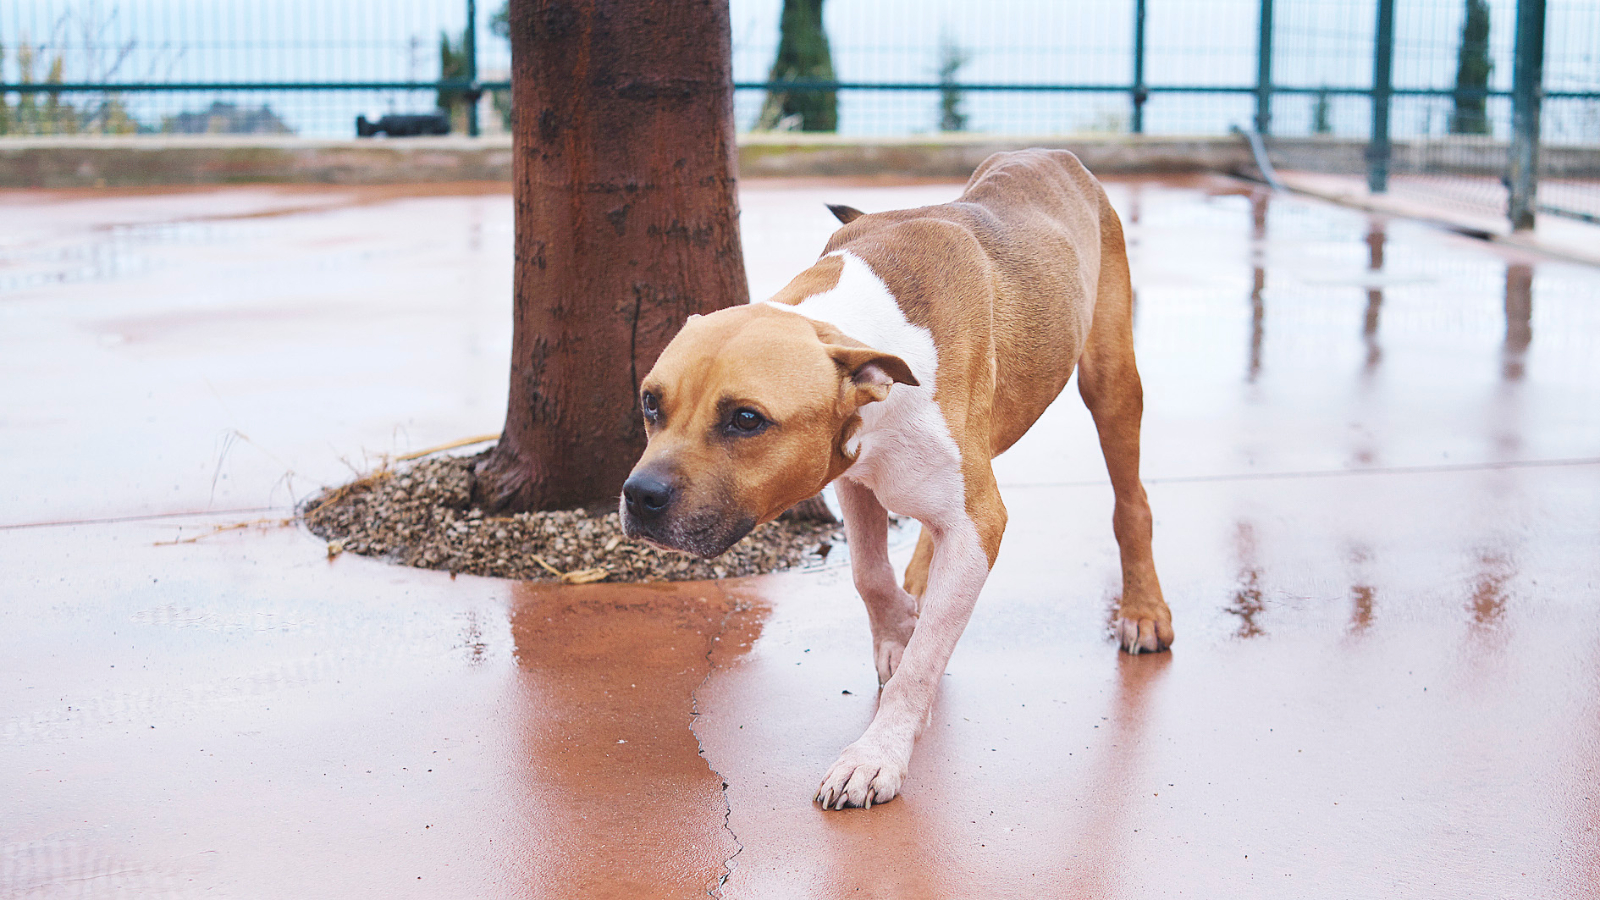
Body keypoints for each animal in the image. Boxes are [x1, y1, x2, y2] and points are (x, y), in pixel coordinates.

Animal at [620, 149, 1173, 809]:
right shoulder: (853, 475)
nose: (640, 495)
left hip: (1111, 382)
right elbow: (870, 575)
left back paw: (1144, 608)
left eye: (746, 419)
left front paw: (876, 753)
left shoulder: (979, 521)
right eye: (651, 403)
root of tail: (1048, 153)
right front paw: (898, 632)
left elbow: (922, 659)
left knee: (1131, 498)